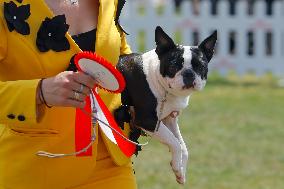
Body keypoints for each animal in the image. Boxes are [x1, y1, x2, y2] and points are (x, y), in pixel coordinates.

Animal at [114, 26, 216, 185]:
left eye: (200, 66)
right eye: (174, 65)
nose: (188, 73)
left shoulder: (169, 118)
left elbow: (182, 145)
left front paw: (180, 171)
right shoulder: (147, 120)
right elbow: (174, 142)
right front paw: (176, 166)